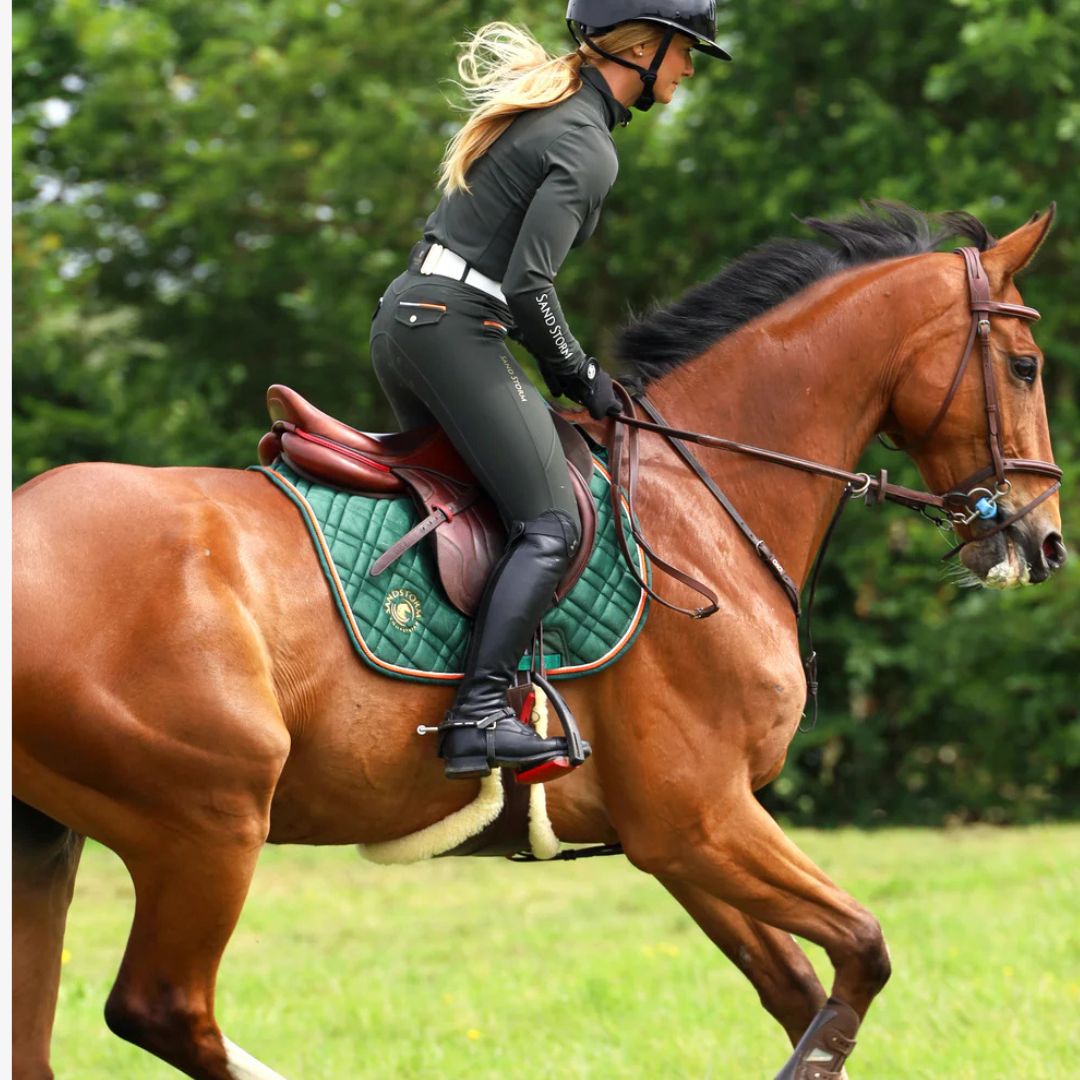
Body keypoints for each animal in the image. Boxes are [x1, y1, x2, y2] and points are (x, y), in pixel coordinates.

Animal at [12, 204, 1066, 1080]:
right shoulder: (702, 818)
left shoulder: (677, 840)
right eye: (1026, 366)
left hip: (49, 841)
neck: (698, 503)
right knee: (162, 1008)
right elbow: (862, 953)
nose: (1044, 540)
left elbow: (801, 989)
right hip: (208, 825)